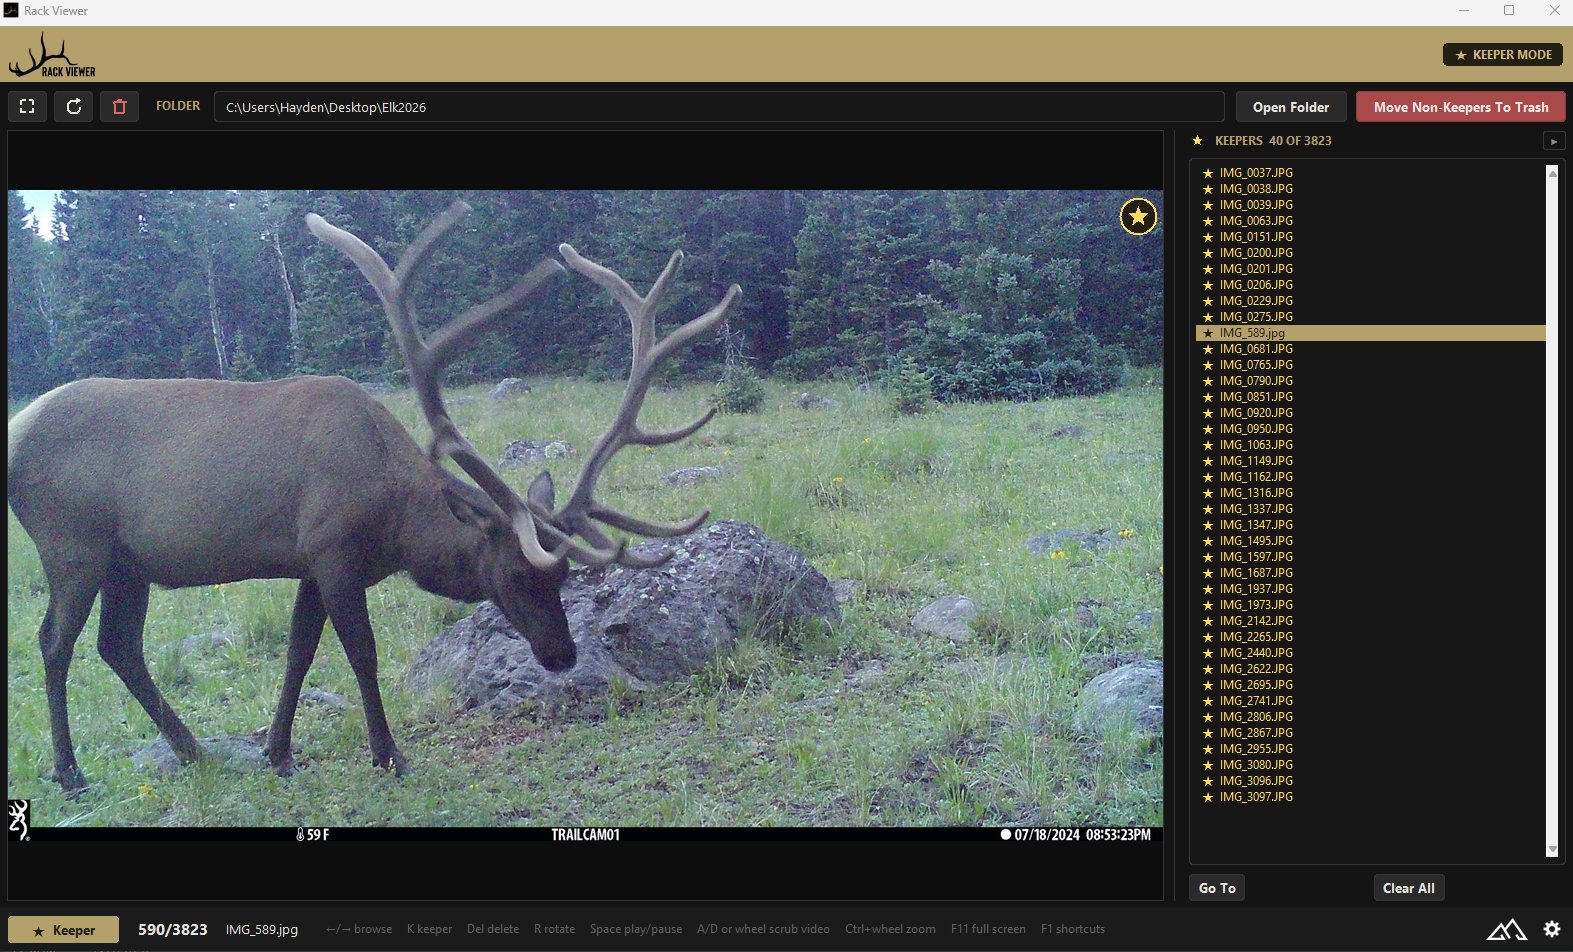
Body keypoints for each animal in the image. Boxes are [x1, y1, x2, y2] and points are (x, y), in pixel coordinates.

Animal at [6, 200, 741, 792]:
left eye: (562, 574)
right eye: (512, 571)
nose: (561, 655)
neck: (397, 523)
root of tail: (15, 433)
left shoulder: (309, 560)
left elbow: (298, 653)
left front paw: (277, 752)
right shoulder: (333, 550)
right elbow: (359, 653)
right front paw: (388, 755)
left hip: (128, 561)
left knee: (118, 646)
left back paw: (192, 750)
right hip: (73, 545)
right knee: (54, 642)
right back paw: (69, 771)